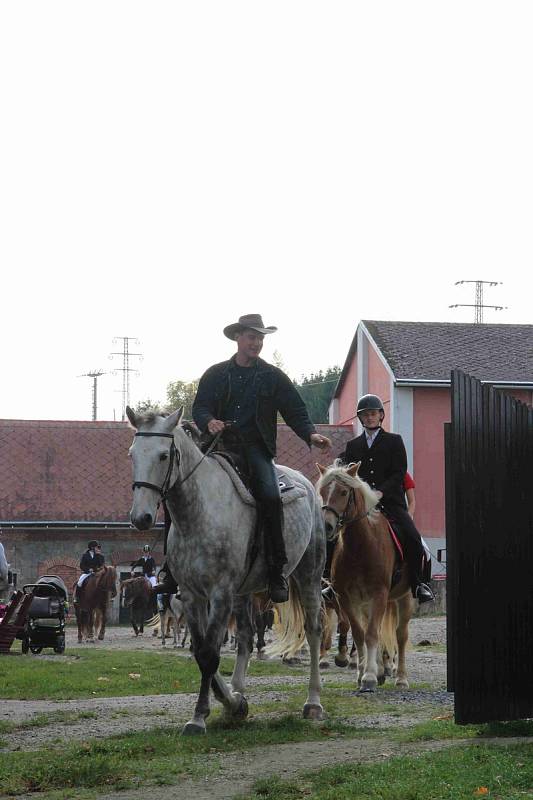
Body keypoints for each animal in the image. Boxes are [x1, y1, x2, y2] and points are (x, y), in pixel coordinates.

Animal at [127, 410, 324, 736]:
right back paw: (238, 690)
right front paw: (232, 703)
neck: (199, 513)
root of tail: (308, 486)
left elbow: (209, 653)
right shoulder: (192, 595)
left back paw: (313, 702)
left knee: (313, 631)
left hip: (309, 574)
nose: (140, 517)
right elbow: (200, 650)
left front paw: (199, 716)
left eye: (163, 455)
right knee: (245, 636)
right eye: (132, 454)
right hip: (243, 593)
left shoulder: (220, 593)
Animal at [316, 460, 412, 692]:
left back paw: (401, 678)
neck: (360, 547)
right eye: (322, 492)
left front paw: (368, 677)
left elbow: (371, 634)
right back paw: (379, 670)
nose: (326, 526)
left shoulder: (378, 594)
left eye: (343, 492)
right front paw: (363, 674)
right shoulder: (346, 599)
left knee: (400, 635)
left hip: (403, 598)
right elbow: (360, 634)